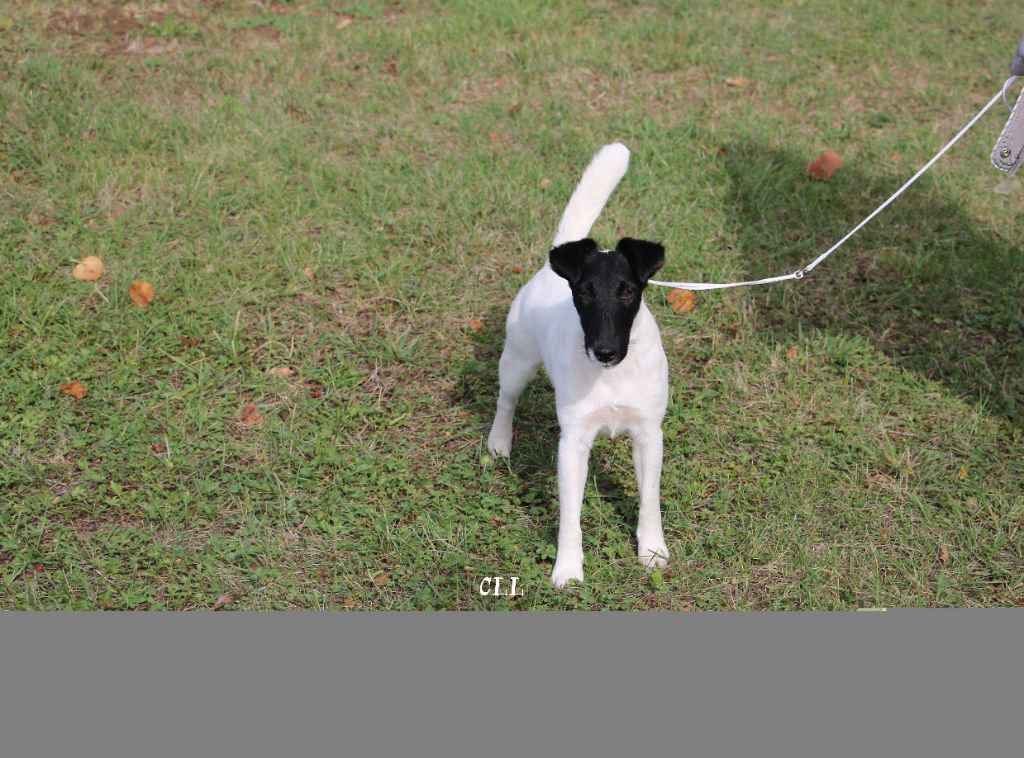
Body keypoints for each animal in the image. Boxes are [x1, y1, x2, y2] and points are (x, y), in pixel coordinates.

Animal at [487, 146, 671, 585]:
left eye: (628, 292)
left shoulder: (648, 435)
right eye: (584, 294)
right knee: (506, 400)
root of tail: (551, 263)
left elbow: (649, 501)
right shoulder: (573, 443)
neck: (612, 375)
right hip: (517, 360)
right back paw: (499, 441)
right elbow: (570, 515)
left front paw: (652, 550)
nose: (604, 351)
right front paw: (568, 568)